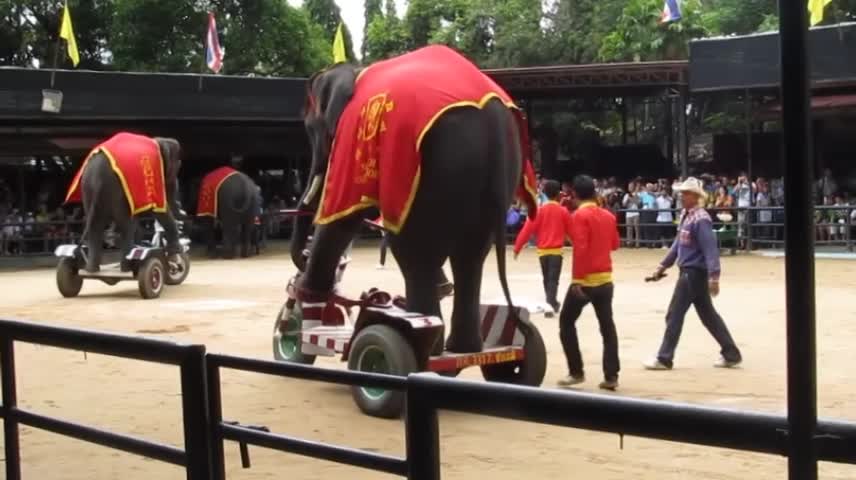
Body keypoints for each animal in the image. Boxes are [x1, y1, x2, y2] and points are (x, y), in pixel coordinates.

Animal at [67, 131, 186, 274]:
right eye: (177, 167)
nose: (183, 210)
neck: (158, 140)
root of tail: (98, 178)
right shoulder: (153, 168)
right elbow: (157, 209)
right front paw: (175, 256)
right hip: (116, 191)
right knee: (126, 225)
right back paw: (128, 267)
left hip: (88, 190)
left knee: (96, 226)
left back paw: (92, 269)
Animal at [290, 46, 540, 352]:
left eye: (311, 129)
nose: (302, 257)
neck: (356, 70)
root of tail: (492, 120)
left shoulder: (352, 135)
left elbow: (343, 211)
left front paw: (307, 291)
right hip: (493, 171)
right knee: (471, 254)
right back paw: (462, 346)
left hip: (434, 169)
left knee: (415, 253)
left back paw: (426, 341)